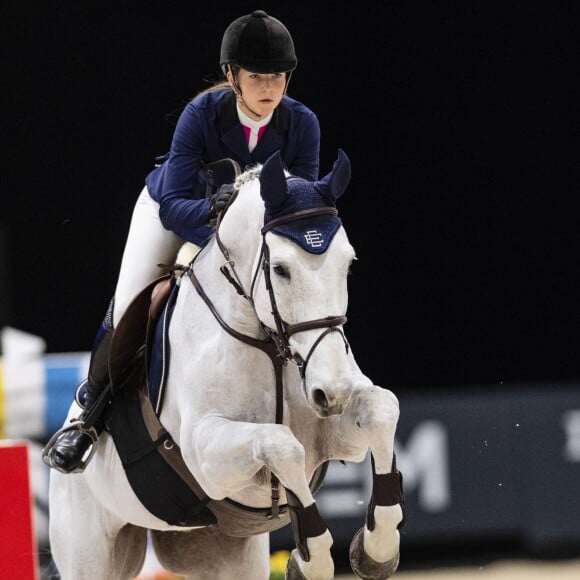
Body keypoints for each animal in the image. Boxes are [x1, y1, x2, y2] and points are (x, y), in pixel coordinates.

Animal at [48, 151, 404, 580]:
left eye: (347, 264)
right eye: (280, 269)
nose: (332, 392)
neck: (269, 345)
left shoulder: (331, 435)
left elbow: (381, 408)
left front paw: (376, 550)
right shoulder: (205, 457)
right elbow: (282, 445)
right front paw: (312, 559)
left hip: (223, 554)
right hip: (90, 551)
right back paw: (72, 444)